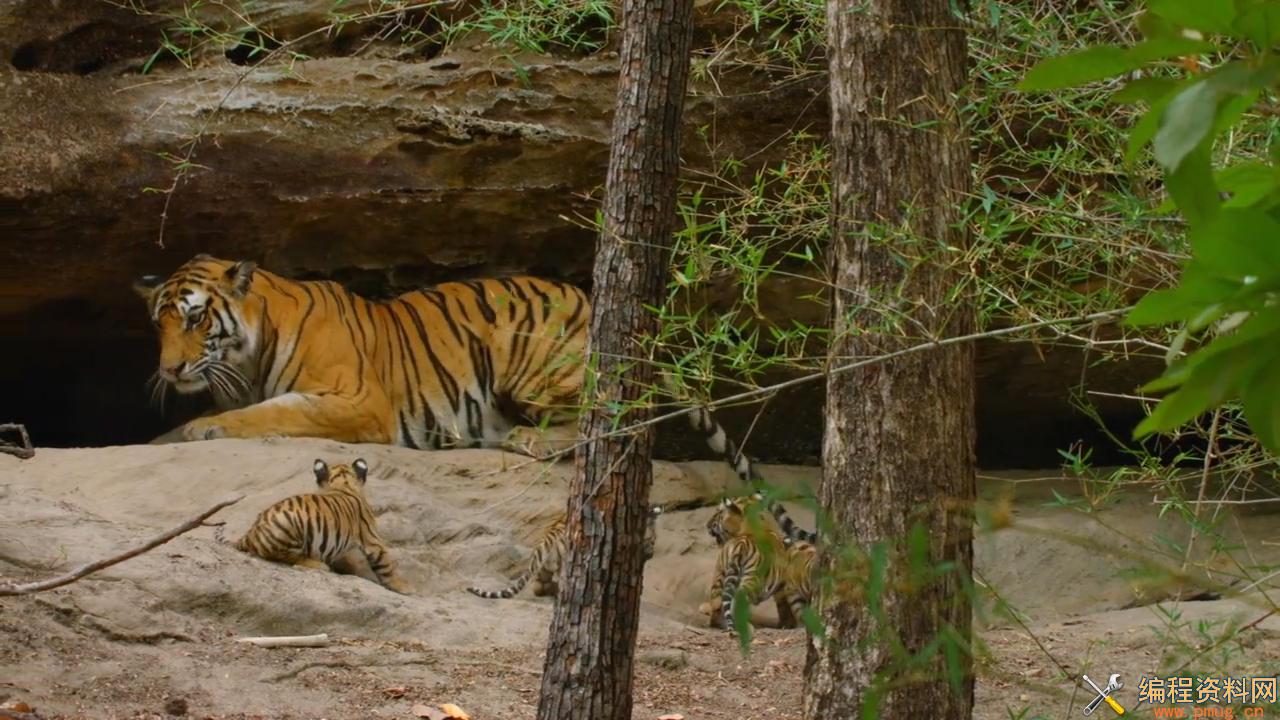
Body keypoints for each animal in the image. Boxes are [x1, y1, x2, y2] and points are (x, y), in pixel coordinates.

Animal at [138, 252, 773, 476]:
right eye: (158, 324)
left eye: (194, 319)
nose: (169, 371)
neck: (244, 359)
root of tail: (590, 295)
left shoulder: (357, 403)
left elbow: (275, 413)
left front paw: (205, 429)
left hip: (532, 357)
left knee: (615, 420)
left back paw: (527, 440)